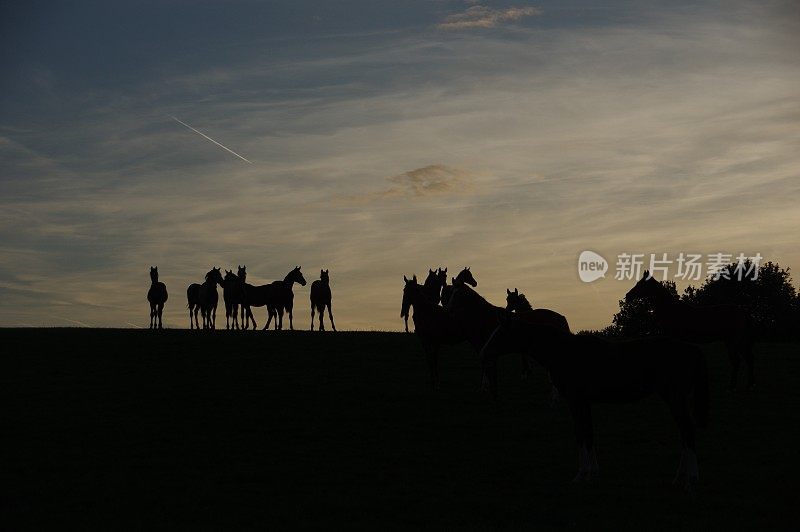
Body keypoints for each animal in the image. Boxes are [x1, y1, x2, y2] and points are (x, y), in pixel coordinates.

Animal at [482, 314, 708, 492]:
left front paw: (582, 474)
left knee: (687, 431)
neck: (564, 352)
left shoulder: (576, 402)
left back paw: (691, 479)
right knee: (684, 433)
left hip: (675, 398)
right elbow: (588, 433)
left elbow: (581, 434)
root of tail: (692, 350)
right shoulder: (584, 403)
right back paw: (679, 478)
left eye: (500, 333)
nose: (484, 352)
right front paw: (593, 473)